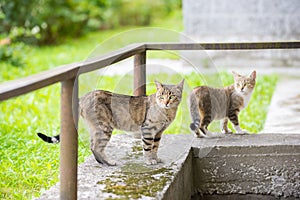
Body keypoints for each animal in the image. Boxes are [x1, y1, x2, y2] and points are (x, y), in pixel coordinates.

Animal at [37, 79, 183, 166]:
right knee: (97, 147)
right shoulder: (148, 129)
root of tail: (83, 97)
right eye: (161, 96)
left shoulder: (158, 133)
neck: (167, 112)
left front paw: (155, 158)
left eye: (171, 96)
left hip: (96, 129)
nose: (166, 102)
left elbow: (155, 147)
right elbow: (148, 147)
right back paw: (109, 162)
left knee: (92, 146)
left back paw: (102, 162)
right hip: (104, 128)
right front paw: (149, 161)